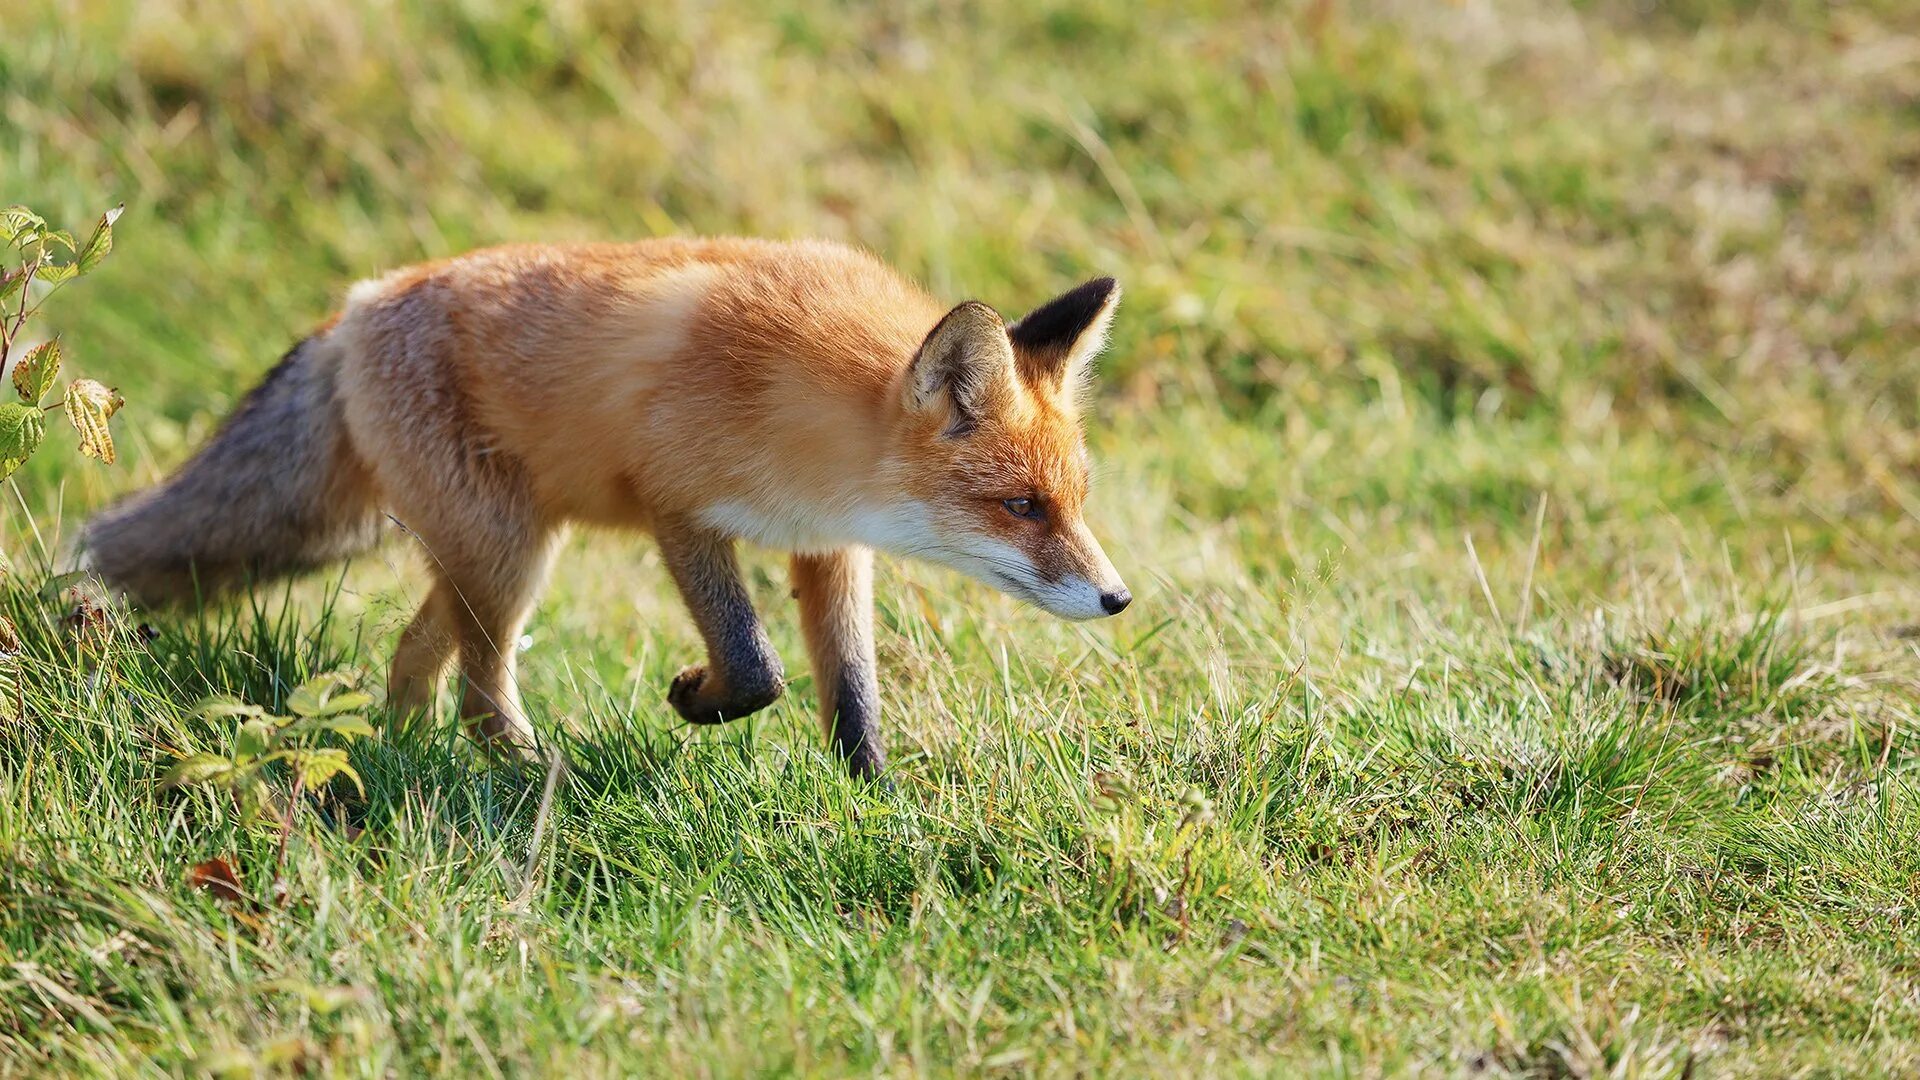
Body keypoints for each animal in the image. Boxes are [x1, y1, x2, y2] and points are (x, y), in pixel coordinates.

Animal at [82, 237, 1128, 772]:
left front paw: (867, 793)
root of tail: (357, 305)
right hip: (508, 554)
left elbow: (852, 691)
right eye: (1021, 507)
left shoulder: (829, 546)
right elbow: (757, 667)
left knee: (416, 661)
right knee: (477, 690)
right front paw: (699, 698)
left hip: (489, 552)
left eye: (1075, 501)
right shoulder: (678, 507)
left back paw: (405, 753)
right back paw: (530, 771)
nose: (1117, 599)